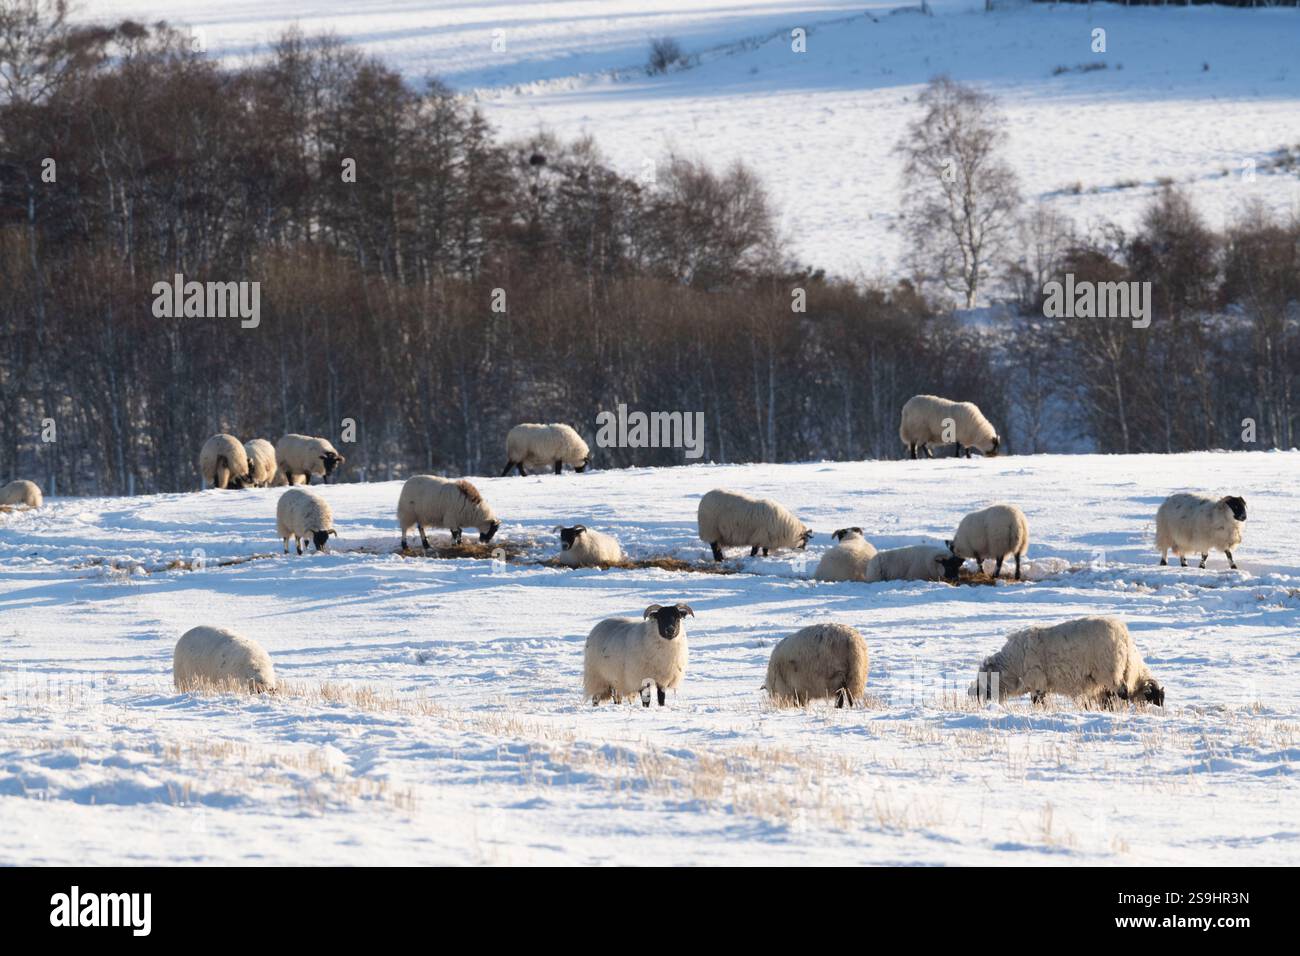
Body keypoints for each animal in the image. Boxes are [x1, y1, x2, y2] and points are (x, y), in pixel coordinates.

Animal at [969, 616, 1164, 709]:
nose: (975, 696)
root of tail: (1123, 635)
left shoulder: (1037, 682)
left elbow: (1038, 701)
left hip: (1110, 672)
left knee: (1121, 693)